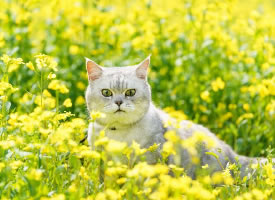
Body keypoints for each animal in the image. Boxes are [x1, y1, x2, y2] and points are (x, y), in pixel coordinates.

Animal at [85, 55, 274, 178]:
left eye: (130, 92)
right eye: (106, 93)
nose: (118, 102)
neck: (118, 133)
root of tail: (233, 156)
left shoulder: (150, 162)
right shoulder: (103, 164)